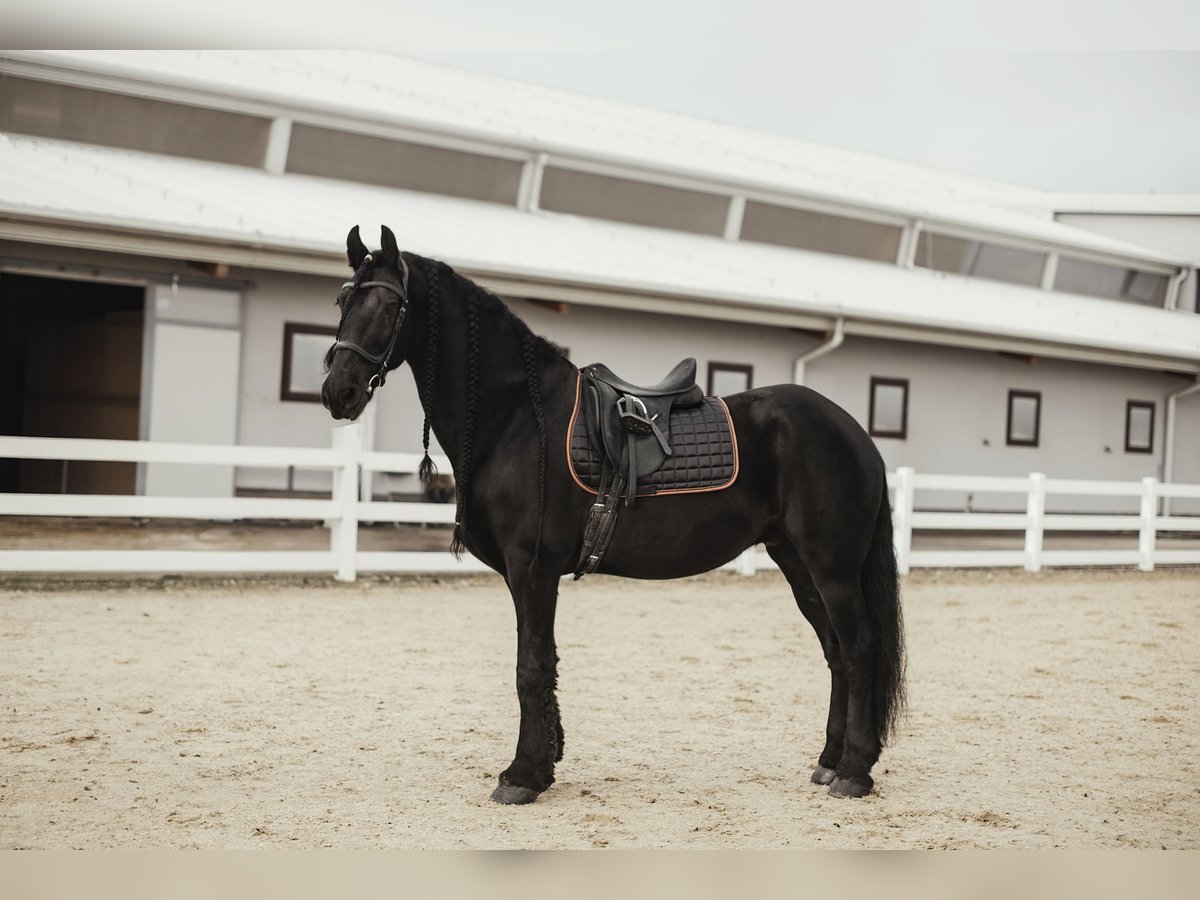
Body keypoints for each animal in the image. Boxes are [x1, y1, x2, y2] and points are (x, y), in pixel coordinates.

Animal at [321, 225, 906, 804]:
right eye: (344, 300)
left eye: (388, 304)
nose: (337, 392)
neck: (515, 416)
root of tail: (856, 433)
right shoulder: (530, 576)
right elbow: (545, 664)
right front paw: (546, 763)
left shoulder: (531, 570)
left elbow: (529, 667)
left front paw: (522, 775)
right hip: (797, 562)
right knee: (835, 652)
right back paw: (829, 761)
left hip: (832, 568)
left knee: (859, 649)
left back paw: (854, 771)